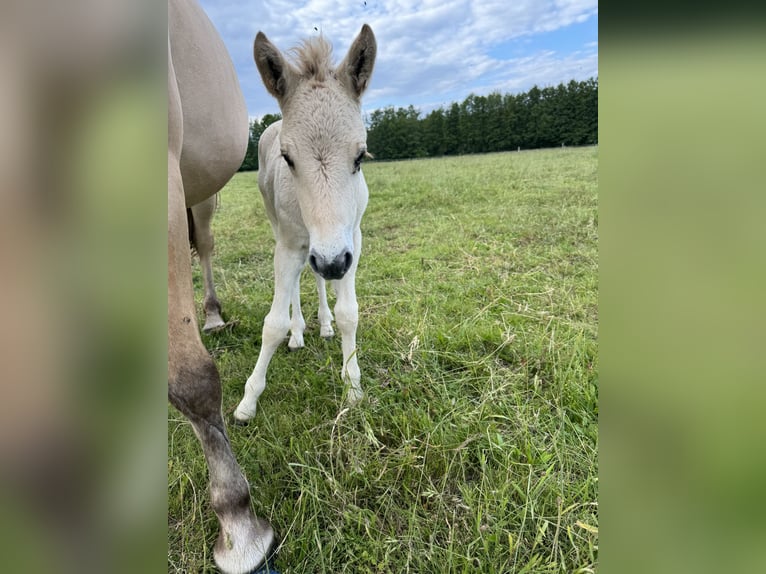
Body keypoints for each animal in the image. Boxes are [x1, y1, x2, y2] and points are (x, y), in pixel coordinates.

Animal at [234, 24, 378, 424]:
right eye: (287, 158)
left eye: (360, 156)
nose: (331, 262)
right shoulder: (290, 245)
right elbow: (273, 324)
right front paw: (248, 401)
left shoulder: (351, 241)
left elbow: (348, 313)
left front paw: (353, 387)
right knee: (300, 279)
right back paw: (298, 333)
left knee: (315, 278)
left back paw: (323, 324)